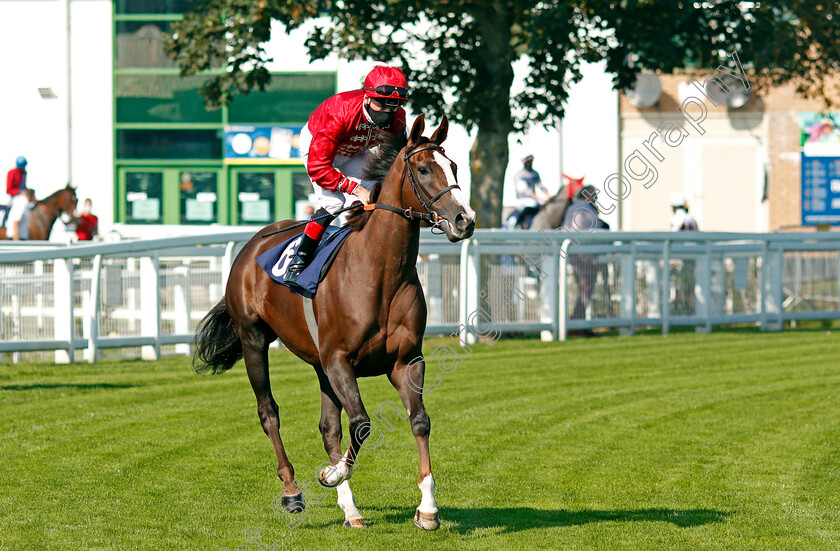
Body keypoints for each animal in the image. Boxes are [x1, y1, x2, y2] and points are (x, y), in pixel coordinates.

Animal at [193, 115, 476, 532]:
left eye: (454, 167)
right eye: (424, 169)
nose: (464, 220)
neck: (380, 271)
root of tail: (253, 244)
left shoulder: (405, 361)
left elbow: (419, 421)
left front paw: (427, 508)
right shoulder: (340, 360)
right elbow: (361, 423)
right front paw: (332, 474)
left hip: (319, 363)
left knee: (329, 426)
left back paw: (350, 510)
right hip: (254, 339)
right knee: (269, 413)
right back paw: (293, 492)